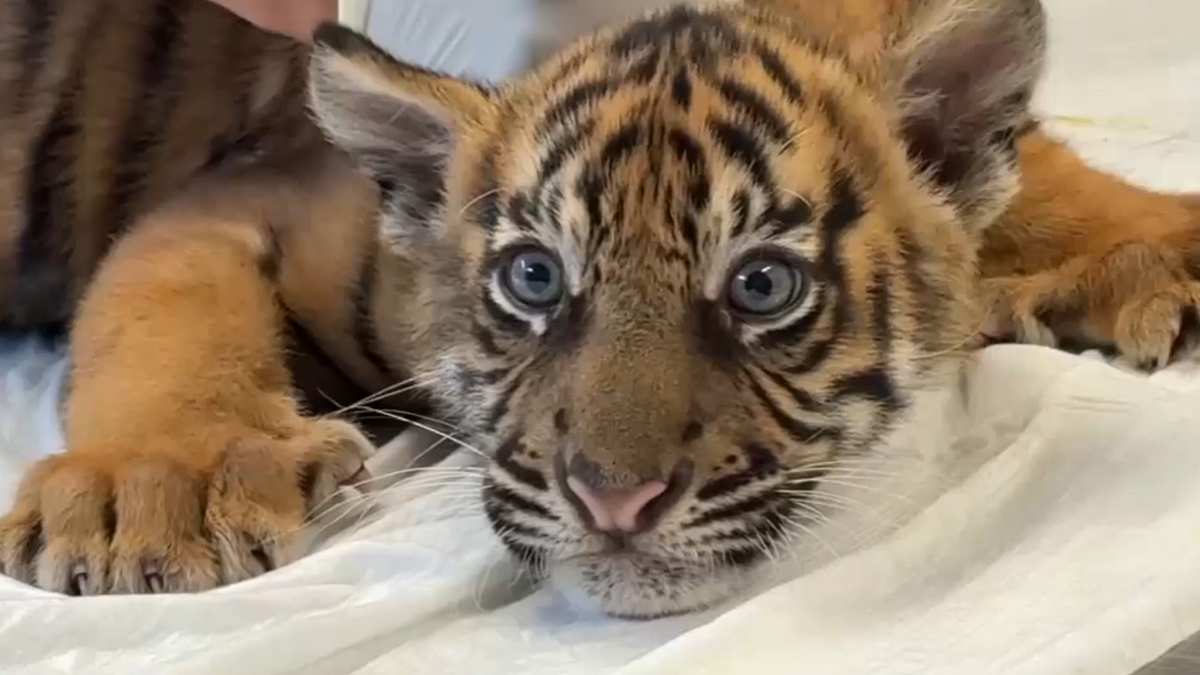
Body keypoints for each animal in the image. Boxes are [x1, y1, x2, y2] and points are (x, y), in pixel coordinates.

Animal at [0, 0, 1197, 619]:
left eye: (763, 285)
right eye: (534, 278)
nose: (614, 502)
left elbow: (1036, 179)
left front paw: (1157, 249)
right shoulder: (234, 198)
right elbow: (161, 317)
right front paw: (153, 489)